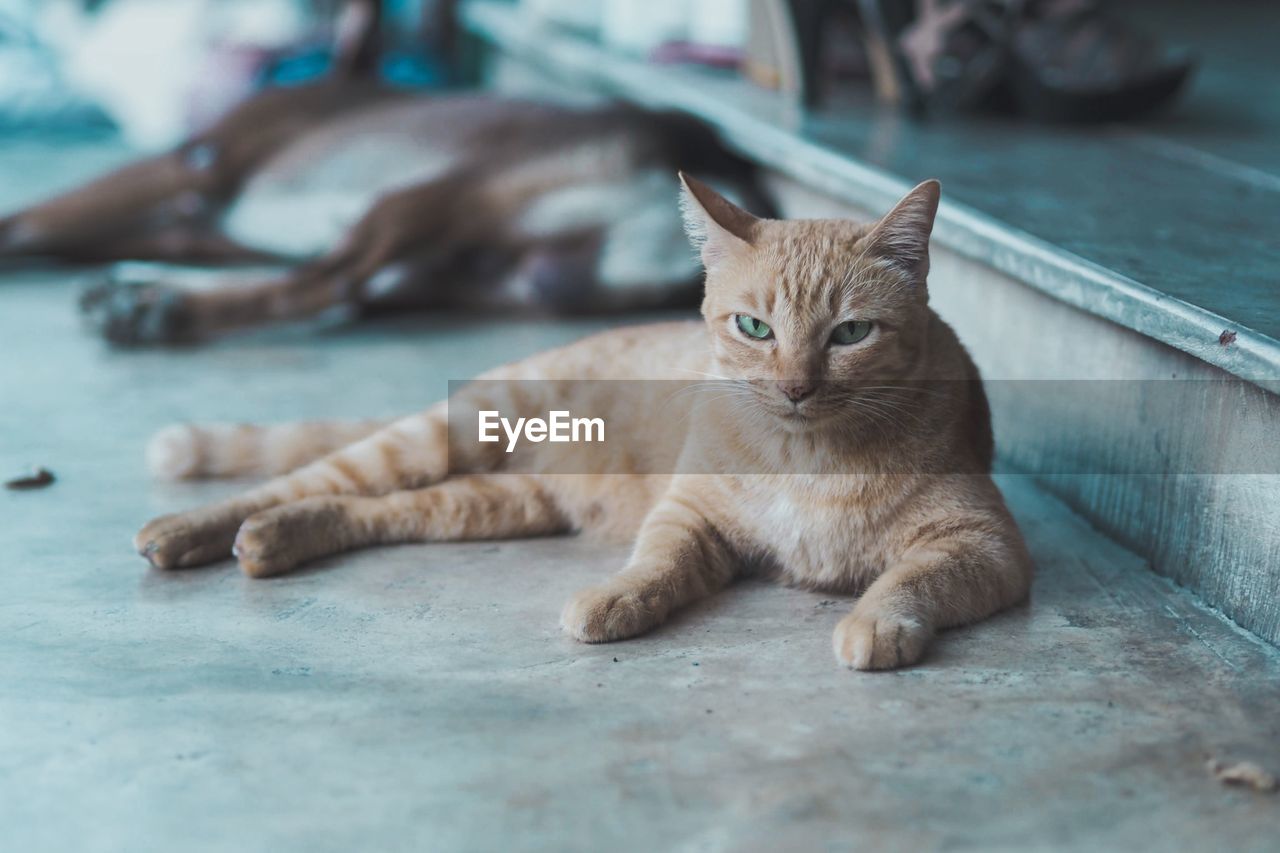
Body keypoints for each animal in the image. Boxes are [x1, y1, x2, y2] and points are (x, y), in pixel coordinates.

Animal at [132, 174, 1029, 666]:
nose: (796, 387)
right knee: (300, 477)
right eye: (754, 328)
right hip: (446, 435)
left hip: (485, 504)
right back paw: (184, 530)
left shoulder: (984, 544)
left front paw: (873, 624)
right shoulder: (689, 511)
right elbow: (657, 562)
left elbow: (908, 579)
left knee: (364, 509)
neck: (806, 455)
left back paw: (270, 541)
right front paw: (613, 597)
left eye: (849, 334)